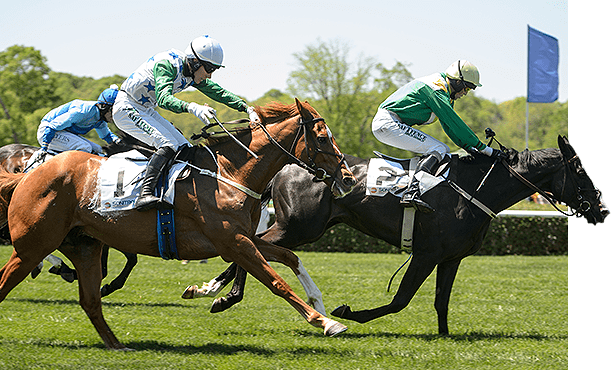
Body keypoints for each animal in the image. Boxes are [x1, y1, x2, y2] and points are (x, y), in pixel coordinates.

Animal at [0, 99, 356, 348]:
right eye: (322, 139)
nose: (349, 178)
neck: (230, 173)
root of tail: (28, 174)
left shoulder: (240, 238)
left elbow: (289, 257)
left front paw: (320, 303)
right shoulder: (232, 242)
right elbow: (276, 281)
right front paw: (324, 321)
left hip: (82, 244)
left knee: (89, 299)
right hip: (33, 244)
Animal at [188, 136, 612, 336]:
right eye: (580, 171)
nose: (602, 208)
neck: (474, 190)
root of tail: (289, 164)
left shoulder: (451, 257)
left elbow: (441, 302)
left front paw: (445, 336)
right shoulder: (425, 254)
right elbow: (400, 300)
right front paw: (348, 313)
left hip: (308, 228)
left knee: (250, 249)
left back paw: (213, 289)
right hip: (299, 227)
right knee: (254, 248)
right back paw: (222, 294)